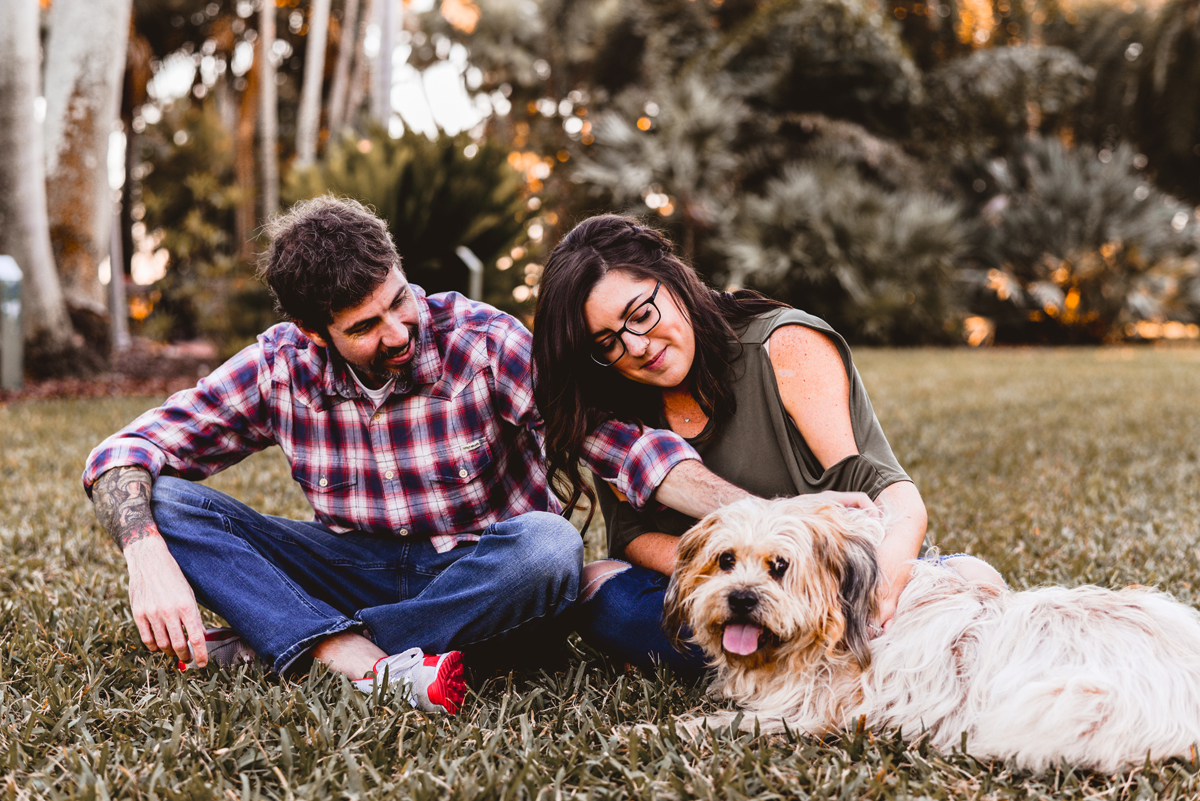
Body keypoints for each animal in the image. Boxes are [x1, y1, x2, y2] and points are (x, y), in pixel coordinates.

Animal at [662, 496, 1200, 772]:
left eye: (780, 567)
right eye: (725, 560)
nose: (741, 598)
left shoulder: (806, 713)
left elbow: (717, 724)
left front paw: (660, 731)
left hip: (1066, 702)